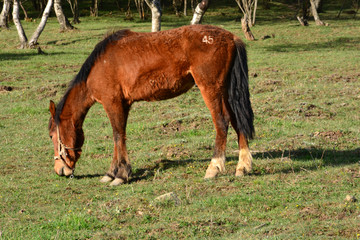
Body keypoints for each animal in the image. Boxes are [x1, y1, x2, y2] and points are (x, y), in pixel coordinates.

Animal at [47, 24, 255, 186]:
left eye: (51, 135)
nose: (59, 170)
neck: (100, 65)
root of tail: (231, 37)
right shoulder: (124, 105)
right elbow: (119, 137)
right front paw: (112, 173)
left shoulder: (112, 103)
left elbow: (117, 136)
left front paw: (121, 175)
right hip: (225, 92)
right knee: (236, 121)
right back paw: (243, 166)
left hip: (210, 89)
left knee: (222, 122)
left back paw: (214, 167)